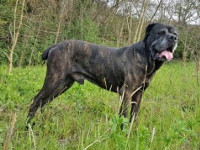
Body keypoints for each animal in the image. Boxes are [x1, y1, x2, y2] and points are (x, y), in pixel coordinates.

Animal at [26, 22, 178, 126]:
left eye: (176, 34)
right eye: (161, 32)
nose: (173, 38)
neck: (147, 59)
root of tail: (55, 45)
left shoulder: (139, 93)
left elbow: (134, 115)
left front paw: (131, 132)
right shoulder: (126, 92)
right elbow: (124, 114)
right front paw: (122, 132)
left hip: (63, 84)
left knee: (44, 102)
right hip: (54, 80)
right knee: (36, 100)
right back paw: (28, 127)